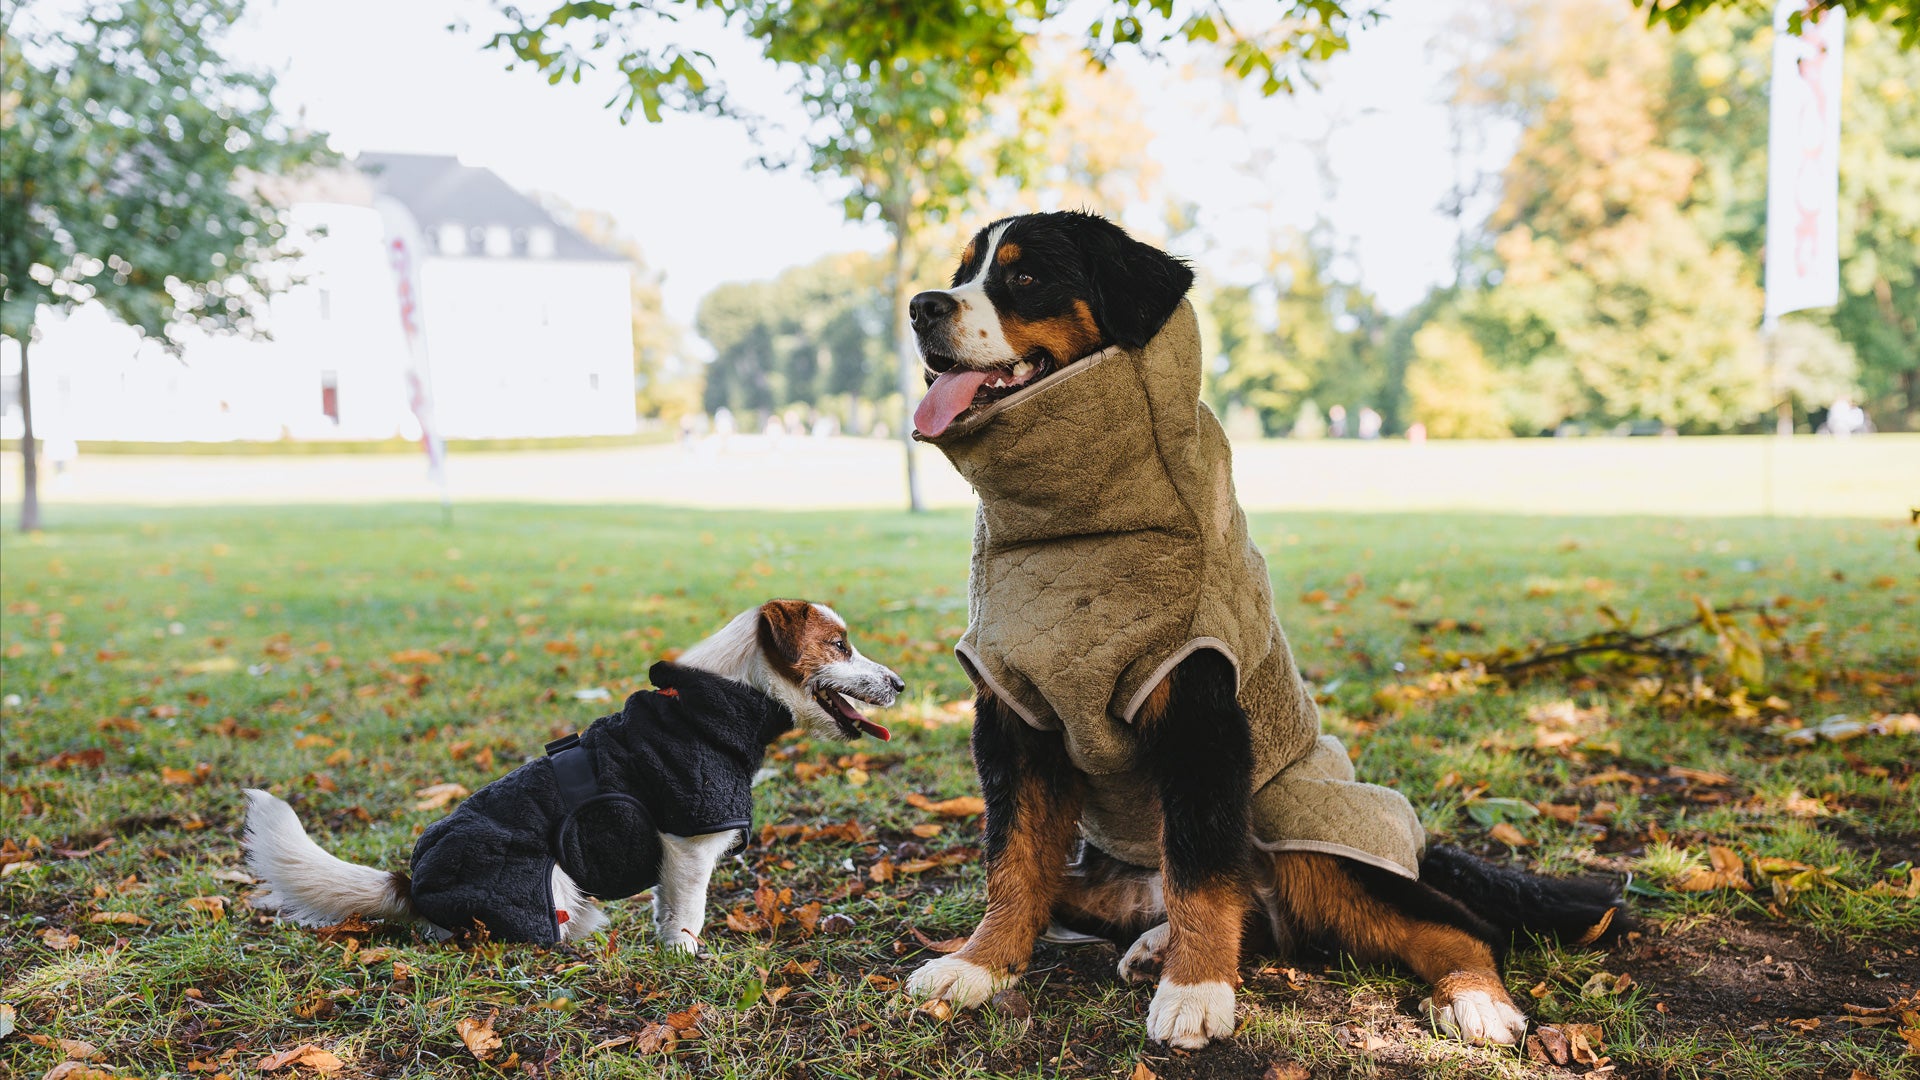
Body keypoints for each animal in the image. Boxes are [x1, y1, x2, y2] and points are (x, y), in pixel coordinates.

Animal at [243, 599, 902, 945]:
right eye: (840, 645)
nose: (899, 683)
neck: (714, 703)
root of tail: (410, 882)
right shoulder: (689, 846)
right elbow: (688, 917)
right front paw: (686, 961)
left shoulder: (671, 859)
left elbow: (666, 908)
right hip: (548, 887)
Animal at [894, 208, 1620, 1045]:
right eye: (961, 272)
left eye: (1024, 275)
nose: (922, 306)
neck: (1076, 543)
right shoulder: (1014, 713)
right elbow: (1011, 865)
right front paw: (978, 965)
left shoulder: (1199, 709)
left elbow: (1203, 868)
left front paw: (1196, 992)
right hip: (1094, 864)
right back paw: (1153, 945)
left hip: (1308, 839)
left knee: (1454, 924)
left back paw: (1476, 1000)